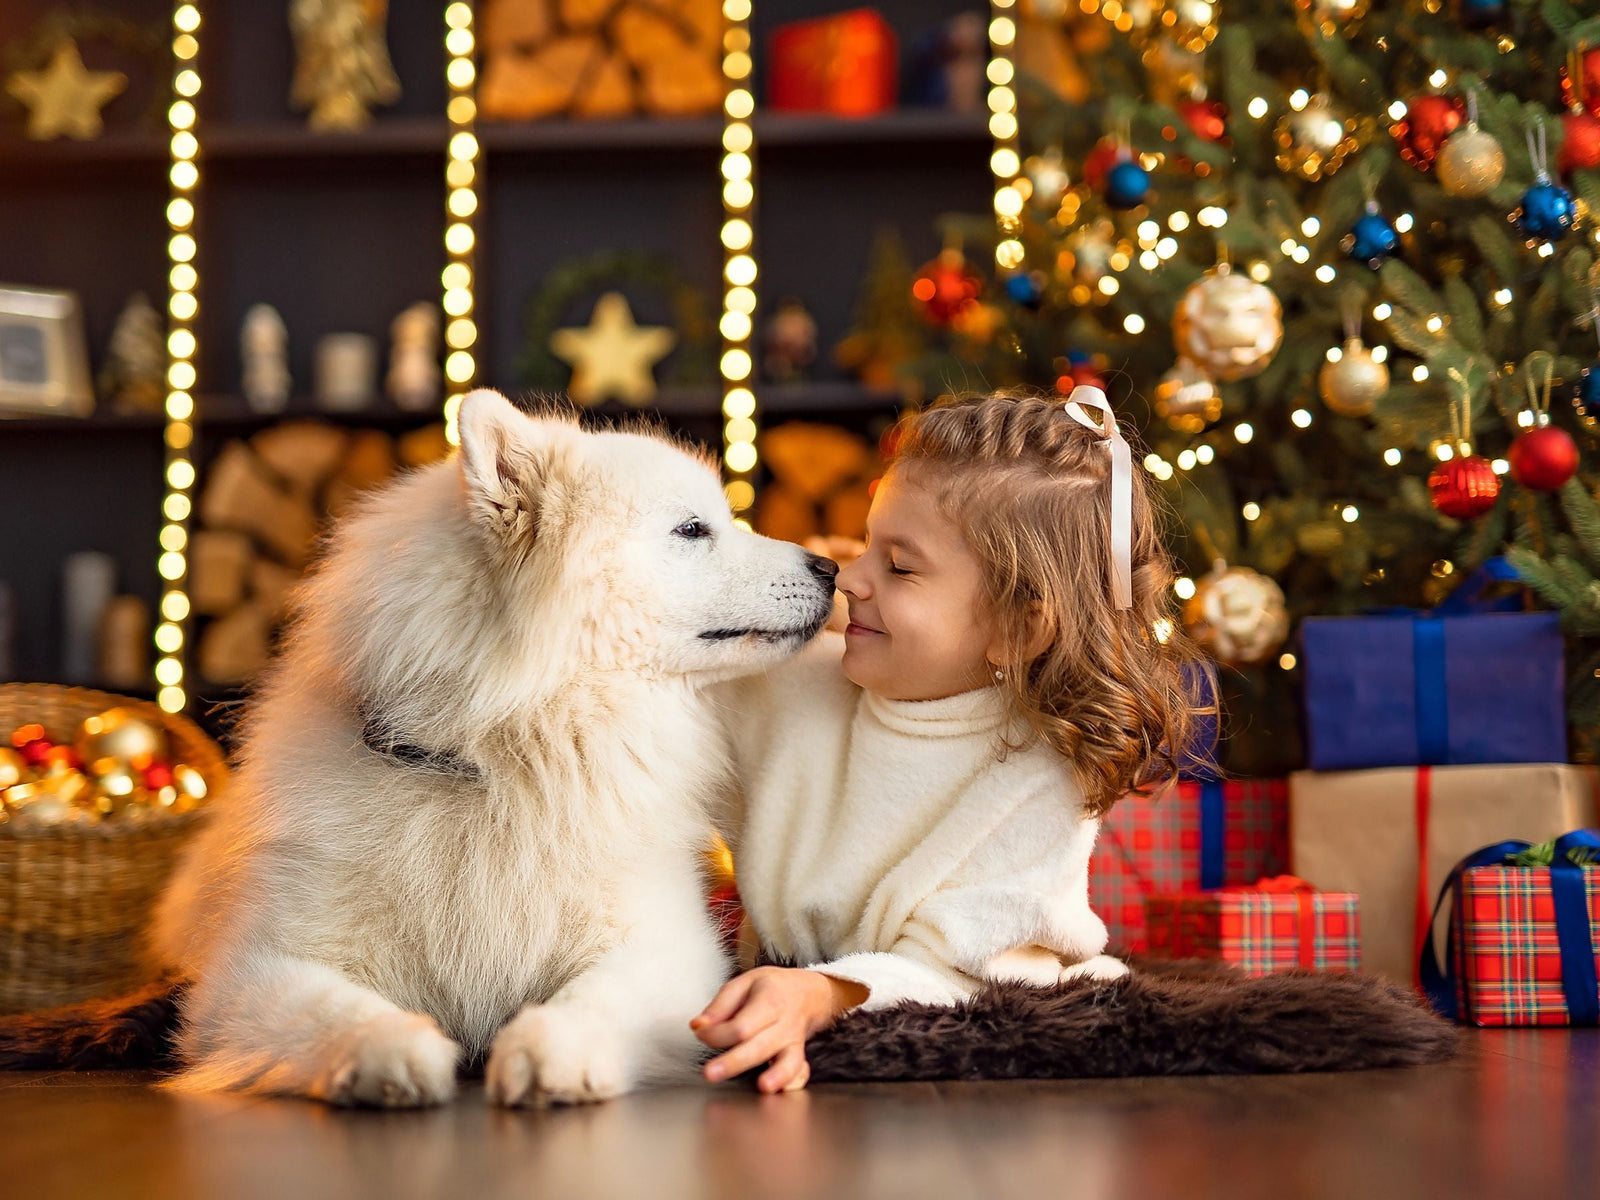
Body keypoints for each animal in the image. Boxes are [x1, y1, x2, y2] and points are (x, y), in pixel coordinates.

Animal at [147, 392, 838, 1107]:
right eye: (693, 529)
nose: (831, 567)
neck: (496, 762)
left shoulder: (667, 946)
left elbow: (595, 1000)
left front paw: (550, 1052)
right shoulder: (251, 973)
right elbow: (333, 1010)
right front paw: (394, 1054)